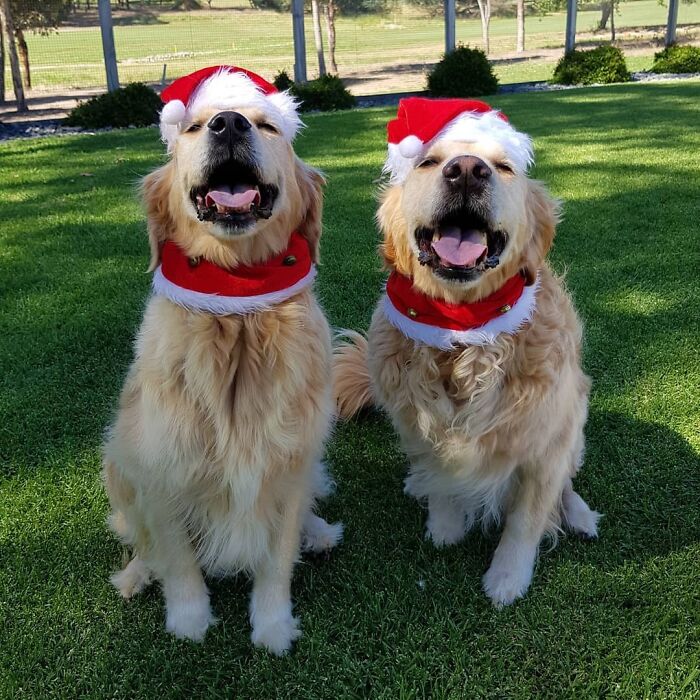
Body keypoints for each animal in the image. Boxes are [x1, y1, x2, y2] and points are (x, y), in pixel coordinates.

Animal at [103, 65, 342, 652]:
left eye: (268, 125)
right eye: (191, 128)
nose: (228, 123)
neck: (237, 314)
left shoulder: (288, 466)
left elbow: (276, 561)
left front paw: (273, 627)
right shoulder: (163, 469)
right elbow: (178, 559)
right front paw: (189, 622)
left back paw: (319, 533)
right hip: (116, 459)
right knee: (140, 538)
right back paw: (136, 574)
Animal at [336, 98, 600, 608]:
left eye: (504, 167)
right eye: (428, 162)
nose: (466, 171)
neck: (461, 337)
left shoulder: (545, 442)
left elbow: (526, 520)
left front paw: (507, 578)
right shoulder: (418, 424)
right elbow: (439, 474)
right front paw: (445, 525)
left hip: (574, 417)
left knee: (567, 478)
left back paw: (579, 514)